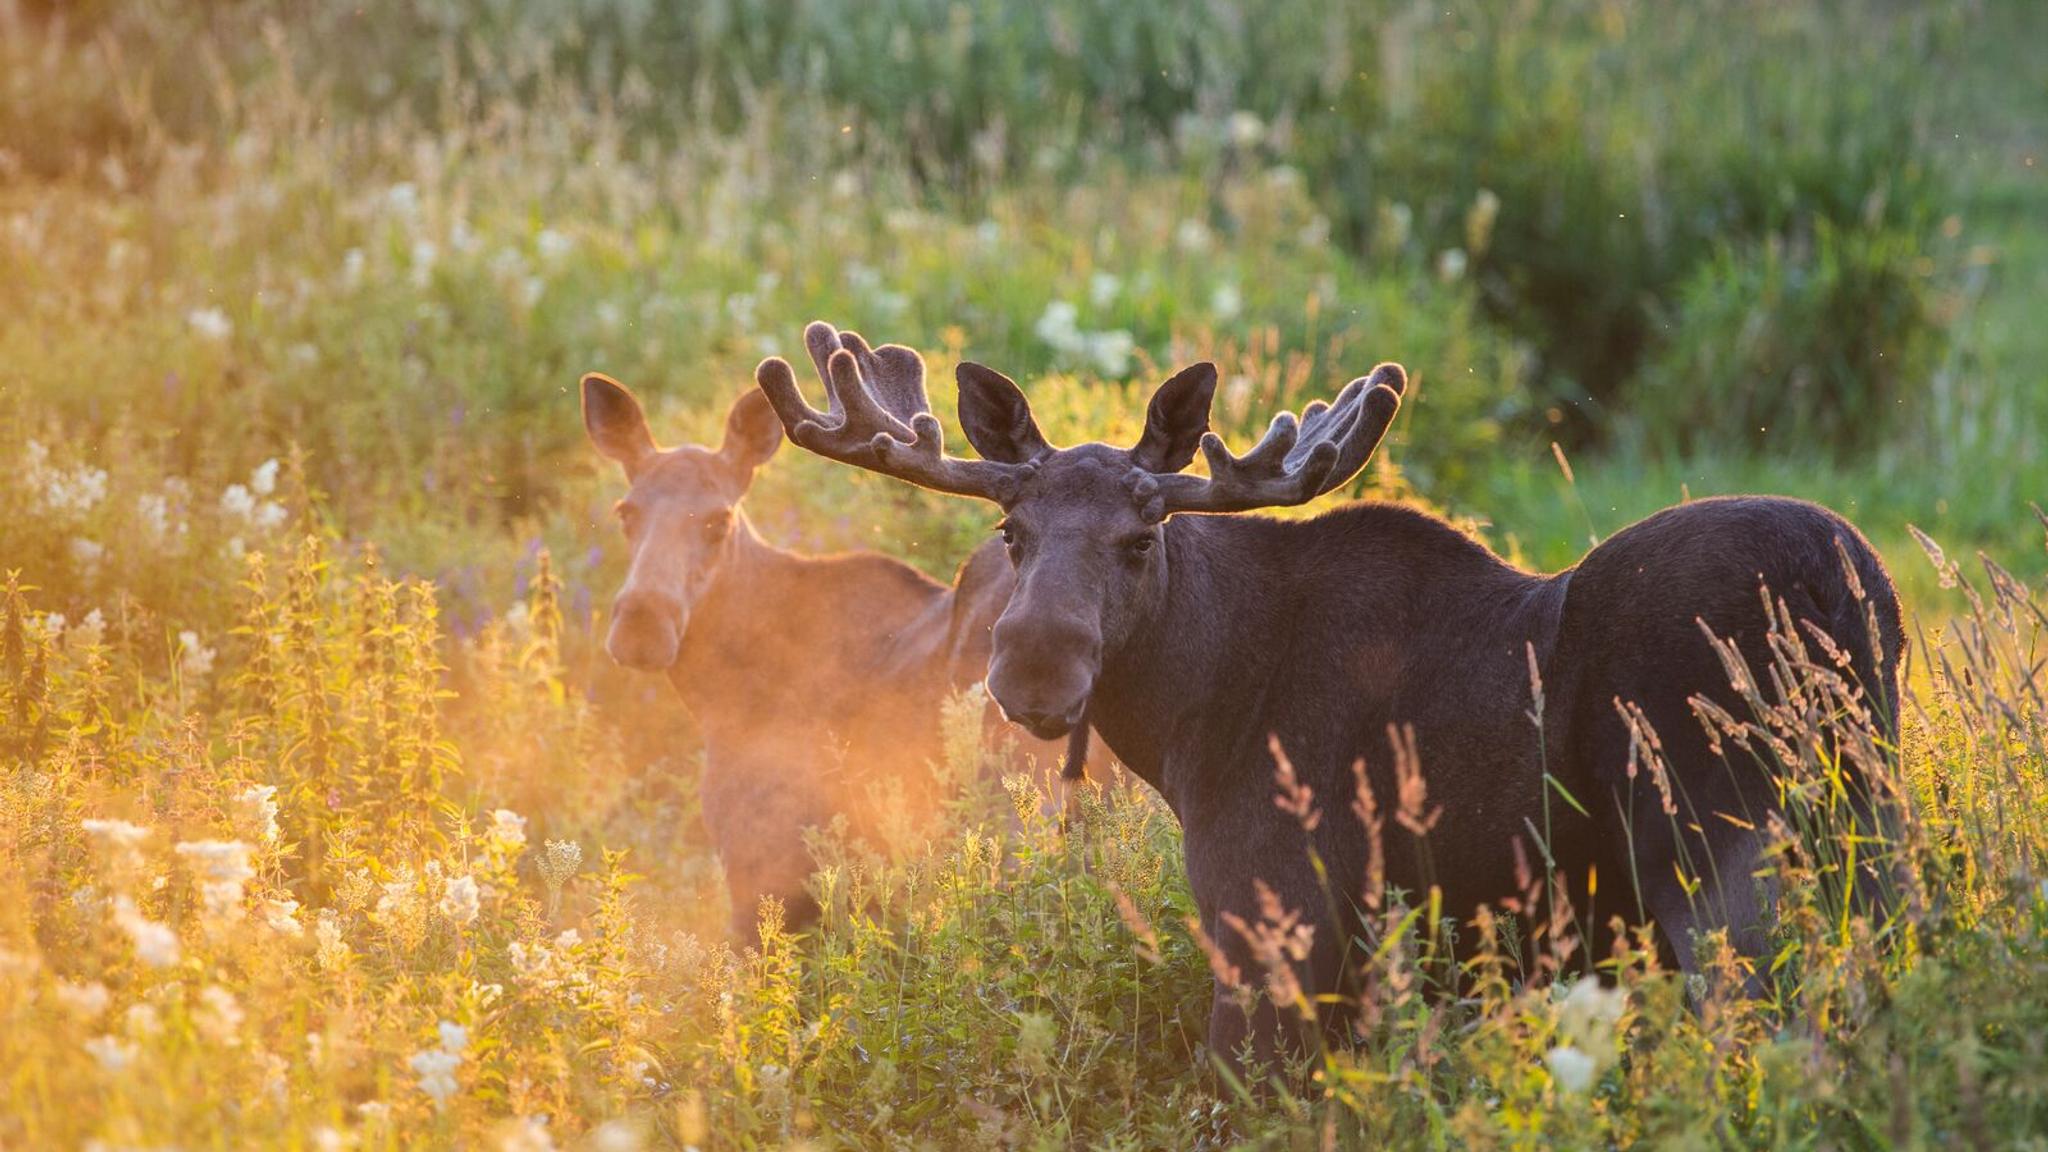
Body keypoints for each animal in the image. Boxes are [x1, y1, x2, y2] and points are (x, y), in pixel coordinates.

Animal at [755, 320, 1904, 1071]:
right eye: (1011, 530)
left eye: (1140, 539)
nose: (1035, 670)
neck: (1190, 722)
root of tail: (1843, 583)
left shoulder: (1275, 921)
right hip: (1869, 839)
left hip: (1726, 865)